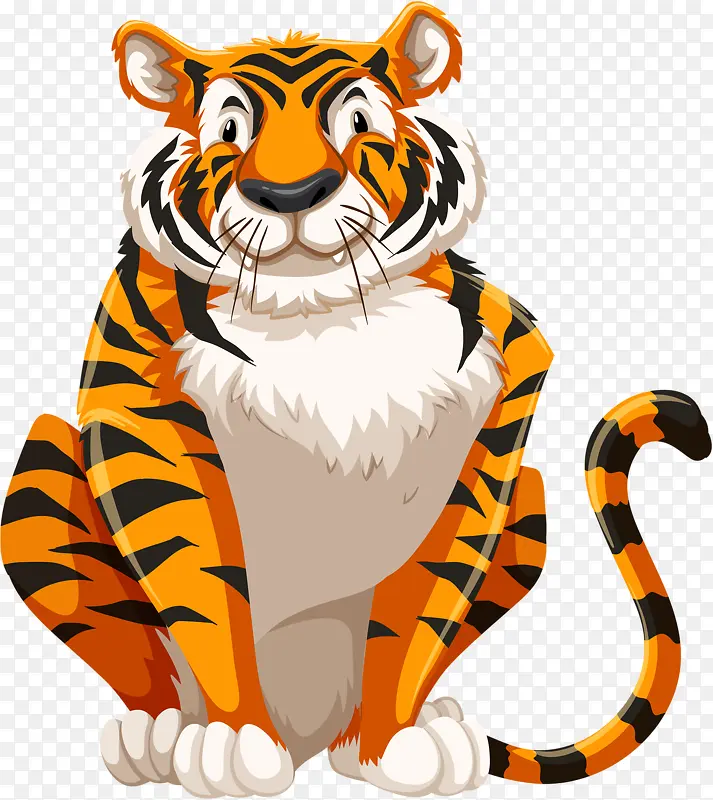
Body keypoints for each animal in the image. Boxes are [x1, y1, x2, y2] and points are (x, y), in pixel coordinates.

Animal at [1, 3, 709, 797]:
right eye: (228, 129)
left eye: (358, 120)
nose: (289, 194)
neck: (318, 310)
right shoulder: (144, 427)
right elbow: (203, 589)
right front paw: (234, 741)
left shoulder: (487, 444)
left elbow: (417, 615)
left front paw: (392, 745)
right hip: (39, 470)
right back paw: (158, 734)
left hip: (526, 500)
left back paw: (419, 732)